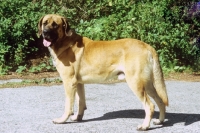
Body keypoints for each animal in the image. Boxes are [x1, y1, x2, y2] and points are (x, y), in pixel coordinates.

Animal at [38, 14, 169, 130]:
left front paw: (62, 119)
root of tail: (148, 46)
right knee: (160, 101)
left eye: (55, 25)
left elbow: (68, 105)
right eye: (45, 23)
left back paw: (145, 126)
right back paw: (160, 121)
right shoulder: (79, 83)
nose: (45, 33)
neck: (64, 41)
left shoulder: (69, 82)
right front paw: (78, 117)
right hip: (148, 84)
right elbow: (81, 102)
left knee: (150, 106)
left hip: (136, 83)